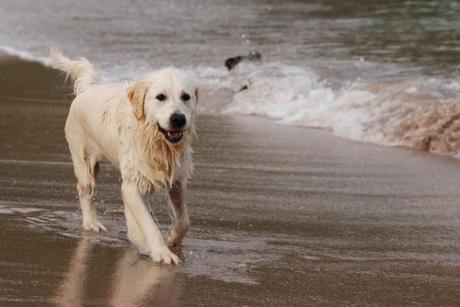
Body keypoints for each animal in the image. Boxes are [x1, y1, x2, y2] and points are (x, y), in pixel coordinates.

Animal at [50, 49, 198, 266]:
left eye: (186, 97)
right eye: (160, 97)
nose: (178, 118)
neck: (156, 141)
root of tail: (87, 89)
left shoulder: (177, 181)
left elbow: (184, 220)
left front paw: (172, 239)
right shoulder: (131, 185)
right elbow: (148, 223)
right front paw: (160, 252)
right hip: (83, 158)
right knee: (84, 189)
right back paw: (92, 223)